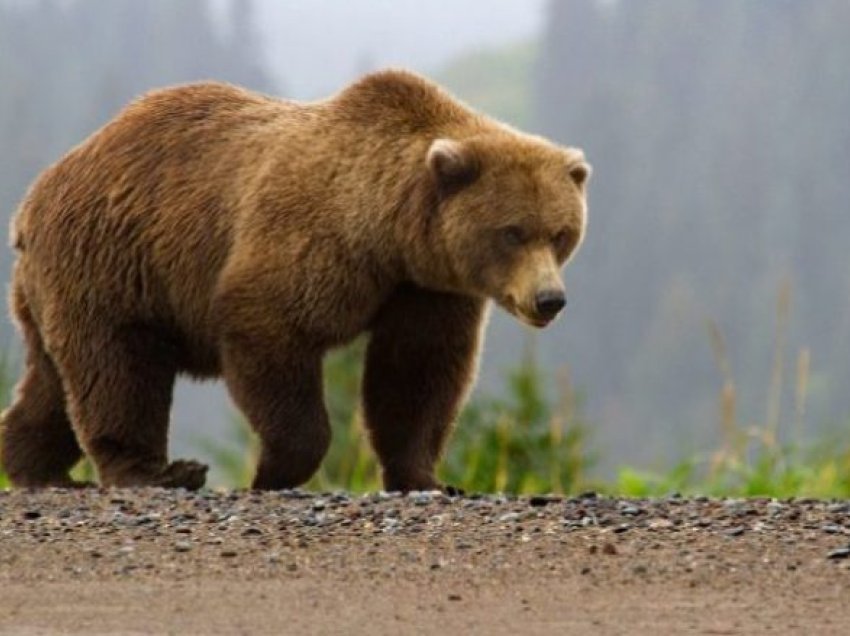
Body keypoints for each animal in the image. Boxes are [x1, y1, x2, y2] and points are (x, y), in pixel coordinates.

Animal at [0, 71, 588, 492]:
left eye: (561, 233)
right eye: (512, 232)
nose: (549, 299)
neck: (389, 234)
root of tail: (34, 198)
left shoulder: (426, 289)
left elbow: (417, 373)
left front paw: (426, 477)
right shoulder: (313, 242)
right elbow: (270, 329)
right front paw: (272, 471)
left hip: (61, 285)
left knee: (54, 380)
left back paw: (33, 466)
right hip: (113, 261)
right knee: (118, 368)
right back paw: (156, 472)